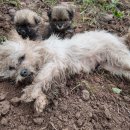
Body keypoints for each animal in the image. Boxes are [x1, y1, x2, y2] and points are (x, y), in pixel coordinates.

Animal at [0, 30, 130, 112]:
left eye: (22, 57)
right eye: (11, 68)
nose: (22, 73)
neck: (41, 53)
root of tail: (116, 37)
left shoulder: (55, 63)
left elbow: (41, 78)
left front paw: (30, 92)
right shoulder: (55, 73)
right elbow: (46, 85)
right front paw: (41, 100)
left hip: (119, 57)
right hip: (113, 67)